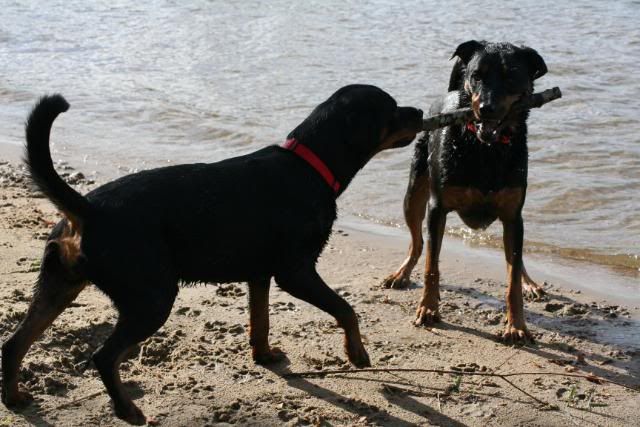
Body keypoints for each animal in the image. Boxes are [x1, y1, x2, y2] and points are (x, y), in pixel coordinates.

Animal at [382, 41, 548, 346]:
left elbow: (512, 276)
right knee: (418, 242)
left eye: (510, 76)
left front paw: (517, 326)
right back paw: (401, 273)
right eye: (477, 75)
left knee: (517, 258)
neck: (486, 148)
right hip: (415, 189)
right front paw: (428, 309)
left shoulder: (513, 215)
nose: (486, 108)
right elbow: (431, 266)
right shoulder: (437, 208)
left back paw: (529, 283)